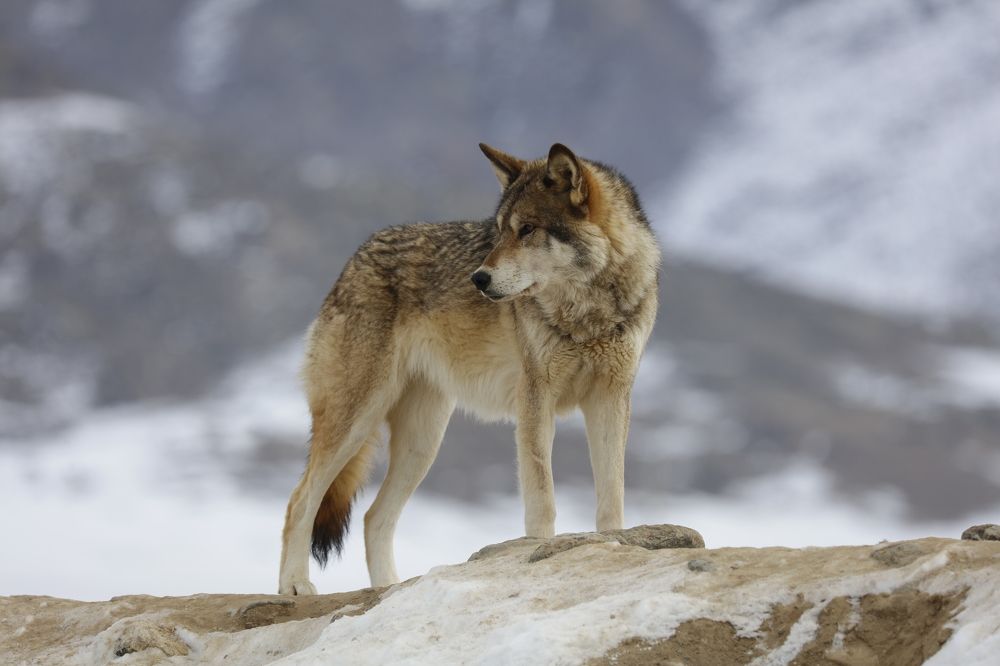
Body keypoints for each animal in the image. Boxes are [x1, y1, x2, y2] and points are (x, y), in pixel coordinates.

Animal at [278, 143, 660, 594]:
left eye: (527, 229)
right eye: (500, 231)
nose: (478, 279)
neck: (587, 313)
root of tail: (355, 258)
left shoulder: (611, 398)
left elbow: (611, 497)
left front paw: (612, 547)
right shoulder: (535, 400)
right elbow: (542, 499)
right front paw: (538, 553)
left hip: (423, 443)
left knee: (373, 518)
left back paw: (389, 588)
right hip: (357, 421)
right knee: (300, 500)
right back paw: (295, 586)